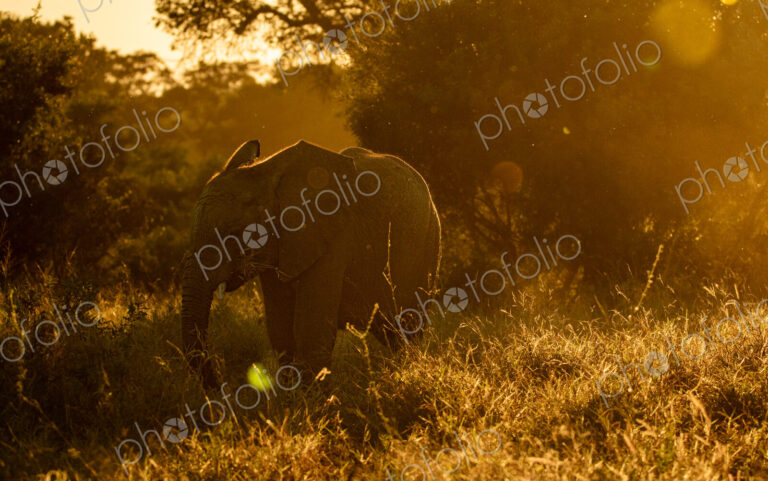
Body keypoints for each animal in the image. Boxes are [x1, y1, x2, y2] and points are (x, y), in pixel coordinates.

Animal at [181, 140, 441, 389]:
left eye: (235, 234)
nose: (220, 385)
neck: (266, 173)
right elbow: (280, 327)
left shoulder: (333, 236)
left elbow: (311, 328)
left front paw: (309, 399)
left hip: (427, 243)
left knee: (407, 324)